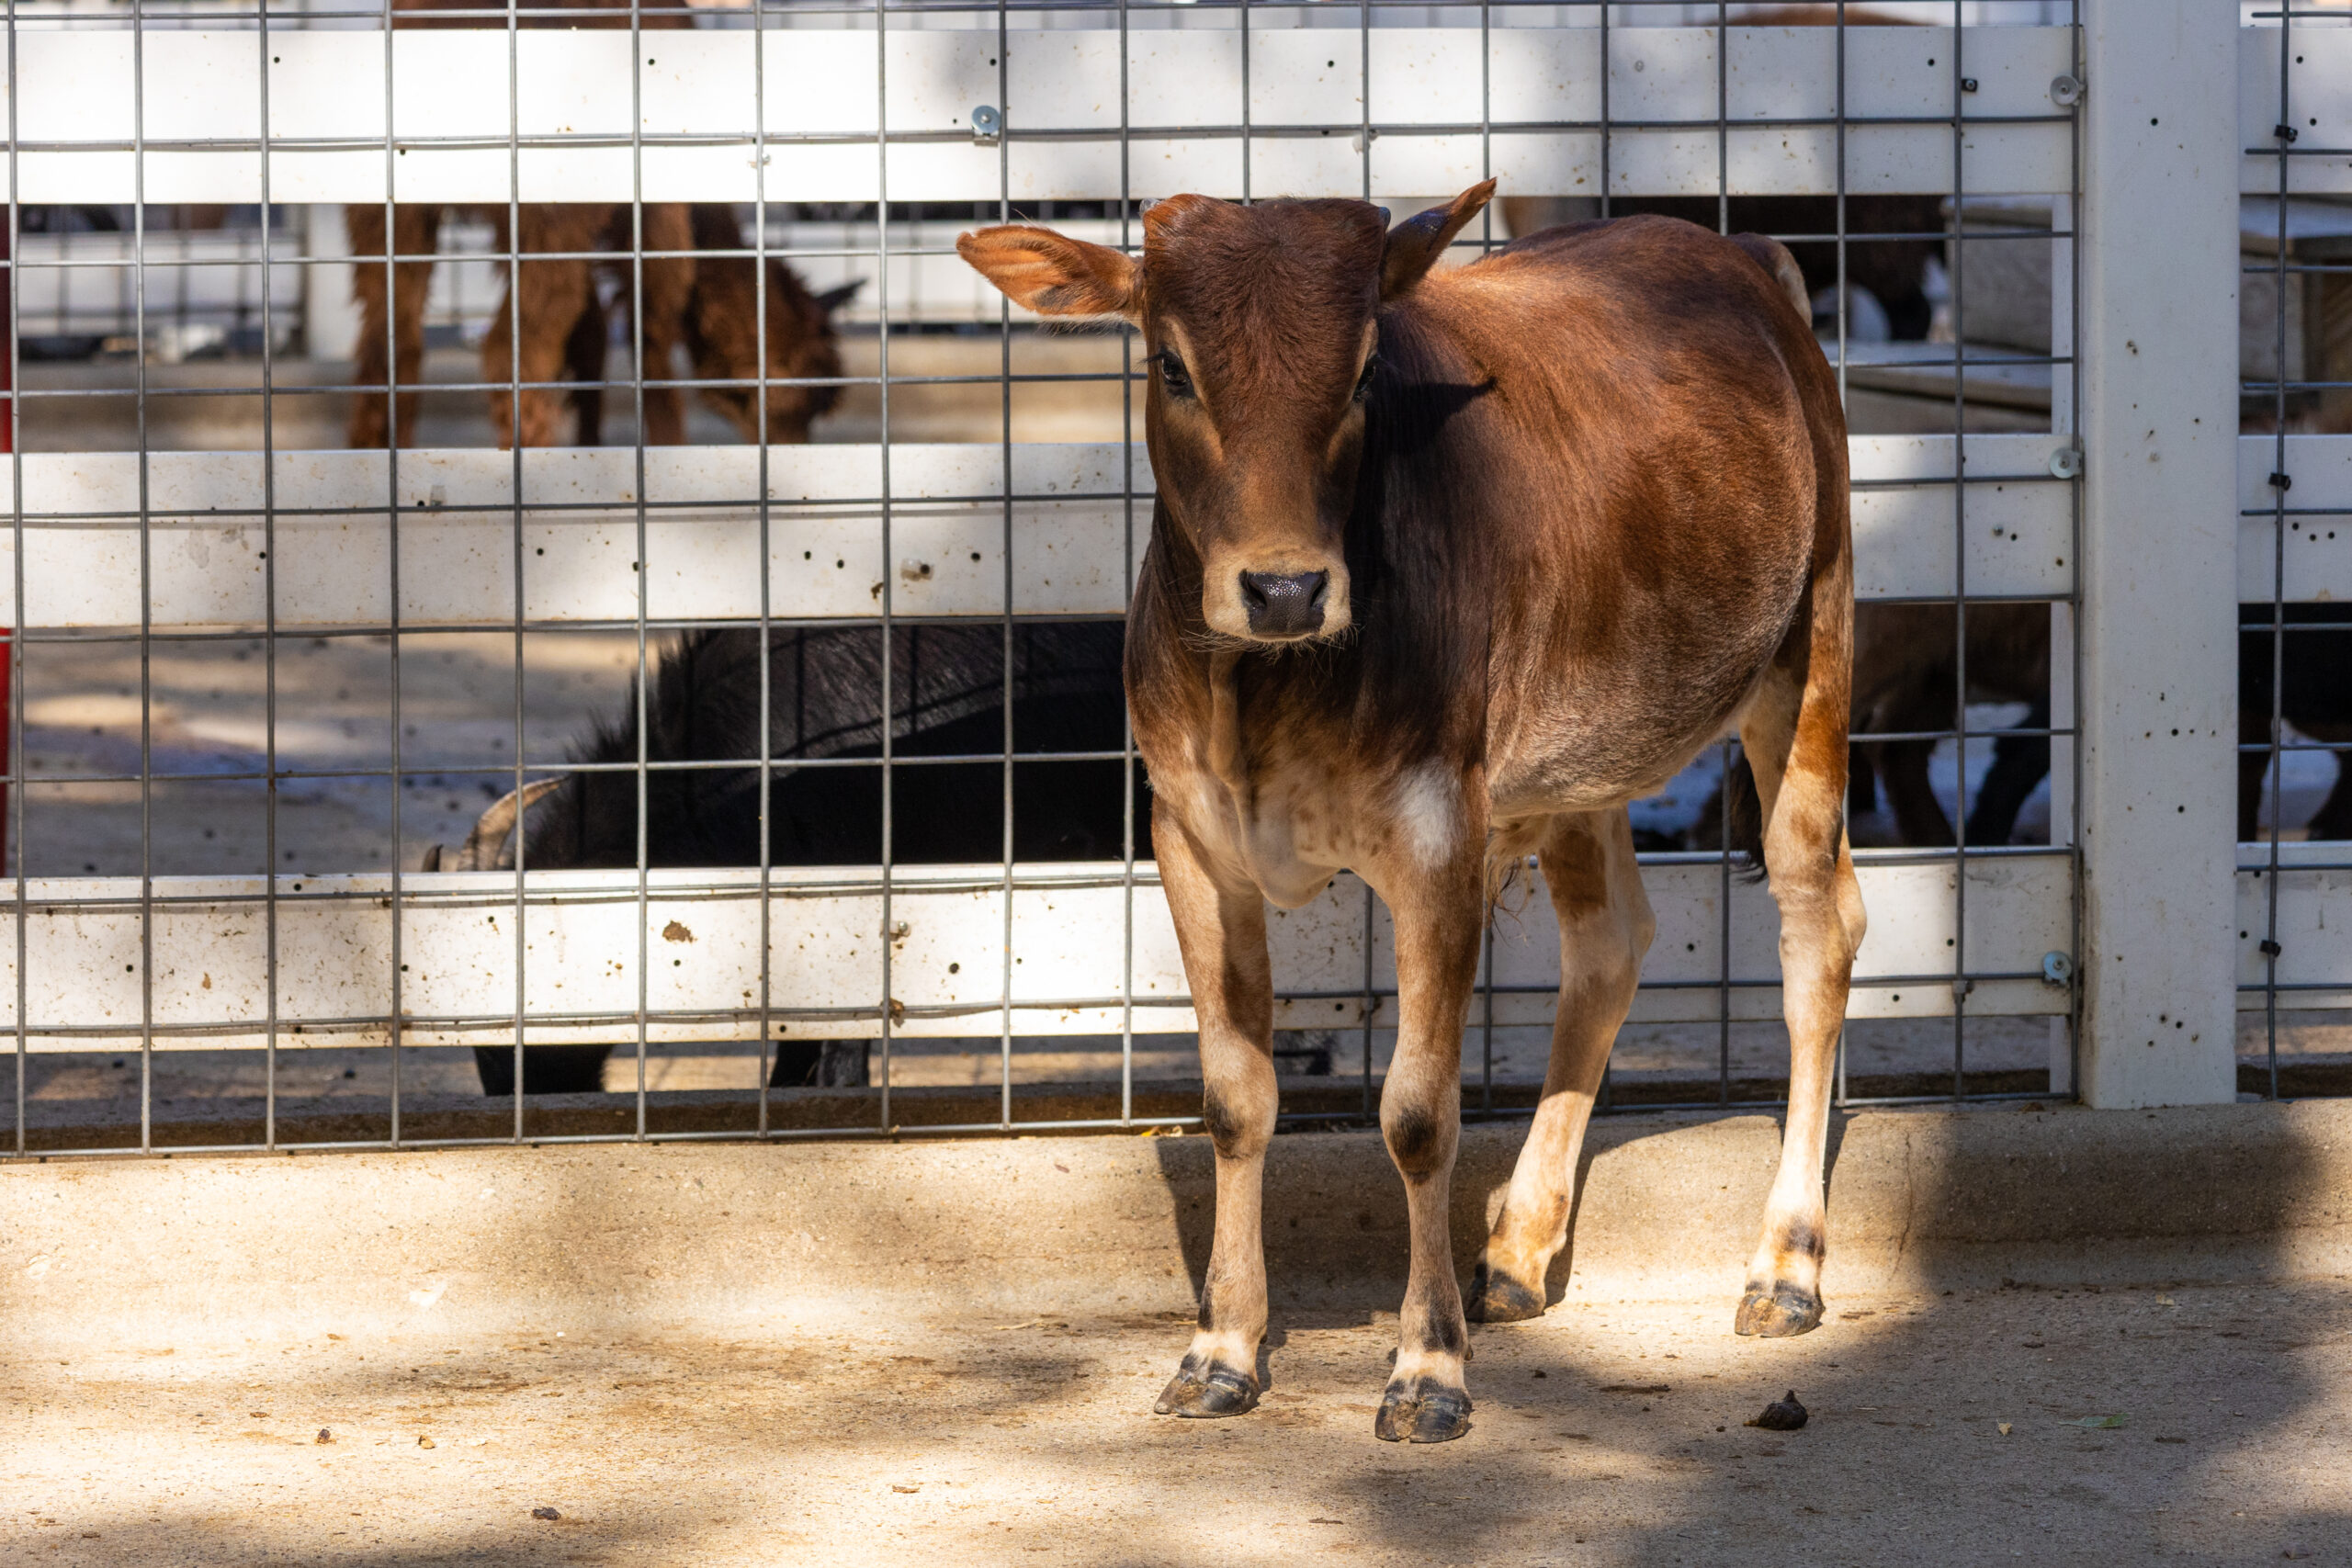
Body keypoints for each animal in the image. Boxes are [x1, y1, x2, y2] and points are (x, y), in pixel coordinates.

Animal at [964, 190, 1862, 1438]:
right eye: (1172, 366)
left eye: (1358, 374)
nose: (1284, 588)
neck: (1265, 693)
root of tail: (1739, 253)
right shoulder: (1190, 841)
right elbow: (1235, 1100)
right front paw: (1220, 1349)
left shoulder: (1440, 839)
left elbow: (1418, 1114)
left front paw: (1427, 1368)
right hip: (1575, 767)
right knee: (1613, 941)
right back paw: (1522, 1246)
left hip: (1807, 656)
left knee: (1816, 932)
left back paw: (1784, 1266)